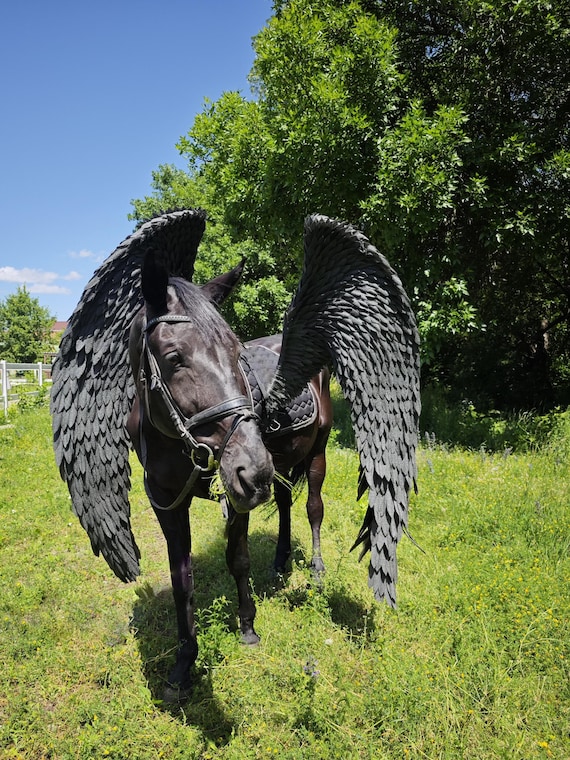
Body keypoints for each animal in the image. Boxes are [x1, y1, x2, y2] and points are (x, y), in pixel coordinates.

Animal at [126, 253, 332, 700]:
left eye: (238, 351)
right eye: (174, 358)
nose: (253, 469)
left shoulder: (237, 495)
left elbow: (237, 559)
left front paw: (248, 626)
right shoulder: (165, 502)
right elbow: (182, 579)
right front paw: (184, 663)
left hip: (315, 455)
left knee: (313, 509)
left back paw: (316, 569)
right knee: (285, 504)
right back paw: (280, 560)